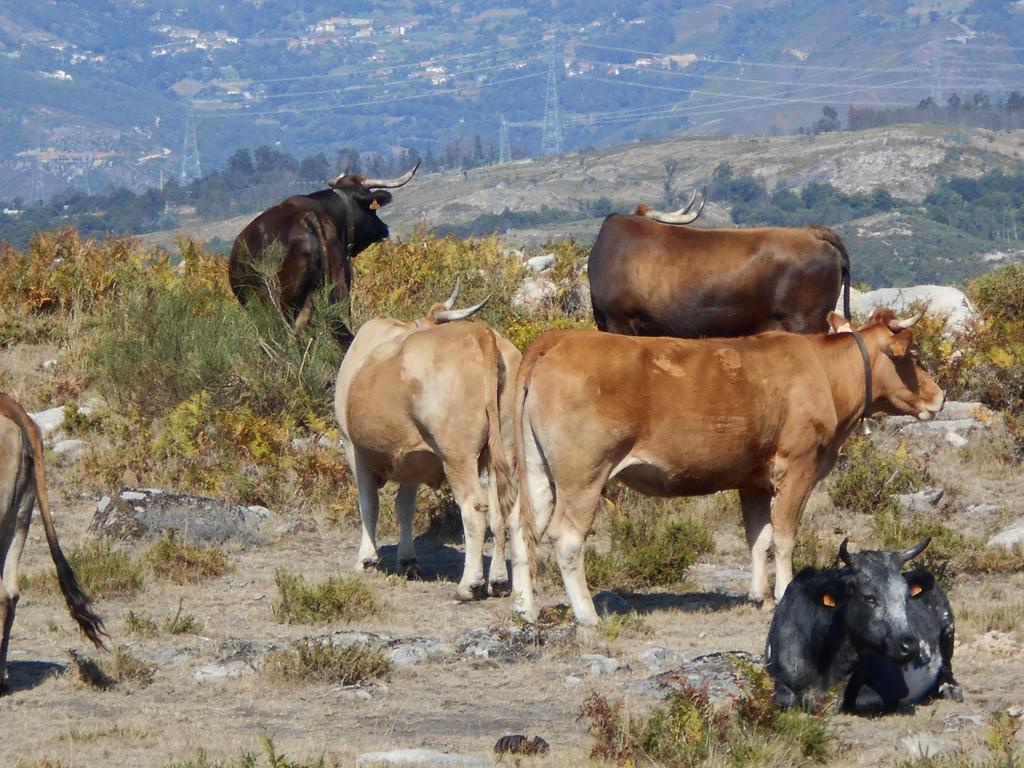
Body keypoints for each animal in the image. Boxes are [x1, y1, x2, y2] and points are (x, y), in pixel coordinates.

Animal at [335, 284, 520, 602]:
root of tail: (481, 333)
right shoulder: (412, 457)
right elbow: (405, 506)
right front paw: (407, 559)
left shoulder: (352, 447)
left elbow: (369, 503)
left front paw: (366, 559)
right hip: (501, 451)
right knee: (500, 510)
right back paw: (497, 581)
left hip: (457, 455)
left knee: (474, 508)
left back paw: (469, 584)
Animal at [507, 309, 946, 626]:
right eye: (914, 355)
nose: (939, 396)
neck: (825, 375)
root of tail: (560, 338)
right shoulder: (799, 467)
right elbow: (785, 536)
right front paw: (784, 594)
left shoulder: (753, 481)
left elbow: (759, 537)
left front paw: (759, 596)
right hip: (583, 476)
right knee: (566, 537)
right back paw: (587, 615)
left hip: (537, 470)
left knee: (521, 526)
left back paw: (525, 608)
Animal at [765, 540, 962, 716]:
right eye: (869, 598)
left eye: (906, 597)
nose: (910, 647)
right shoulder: (777, 674)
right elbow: (785, 699)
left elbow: (865, 701)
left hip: (948, 630)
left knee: (947, 667)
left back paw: (951, 689)